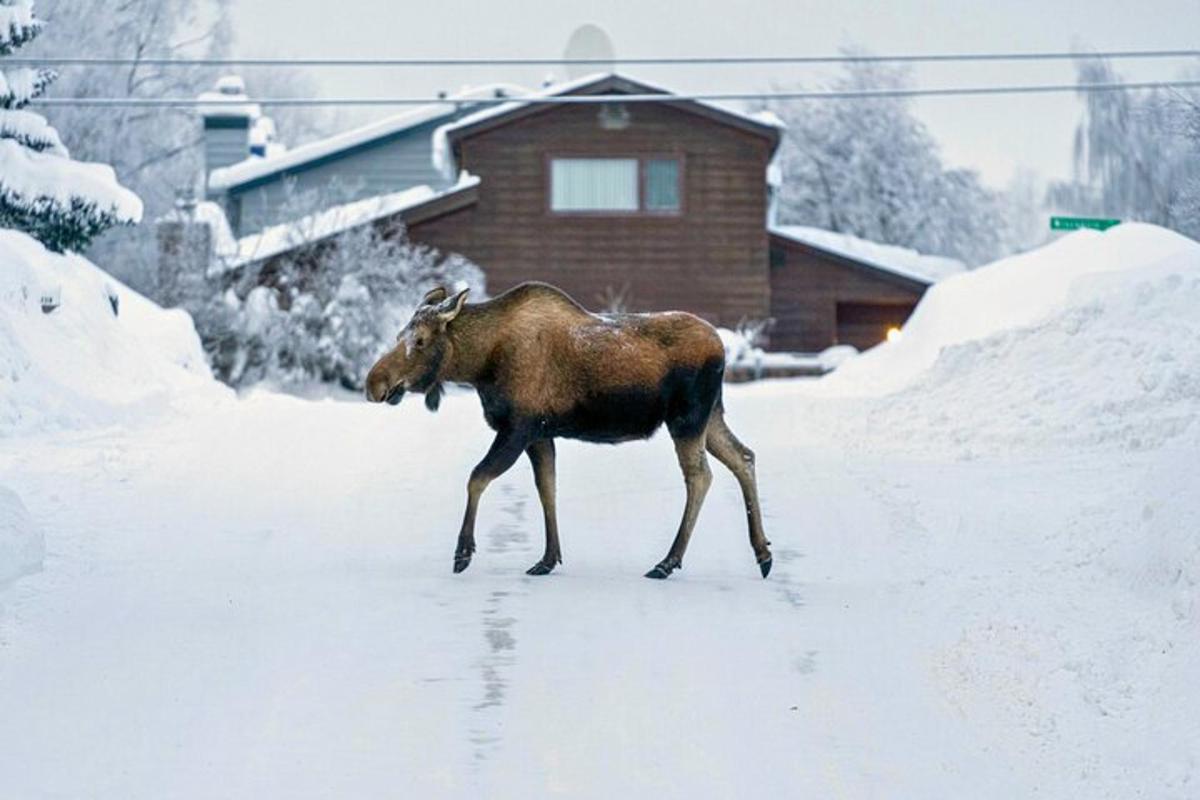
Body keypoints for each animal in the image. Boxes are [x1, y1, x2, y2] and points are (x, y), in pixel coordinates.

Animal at [360, 284, 772, 578]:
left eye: (420, 340)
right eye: (399, 335)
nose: (373, 383)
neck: (480, 364)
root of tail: (722, 349)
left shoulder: (518, 428)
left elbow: (477, 478)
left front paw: (463, 553)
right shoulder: (541, 434)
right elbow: (547, 489)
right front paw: (548, 558)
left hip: (687, 418)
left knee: (700, 476)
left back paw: (667, 562)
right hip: (710, 415)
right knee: (744, 456)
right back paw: (763, 553)